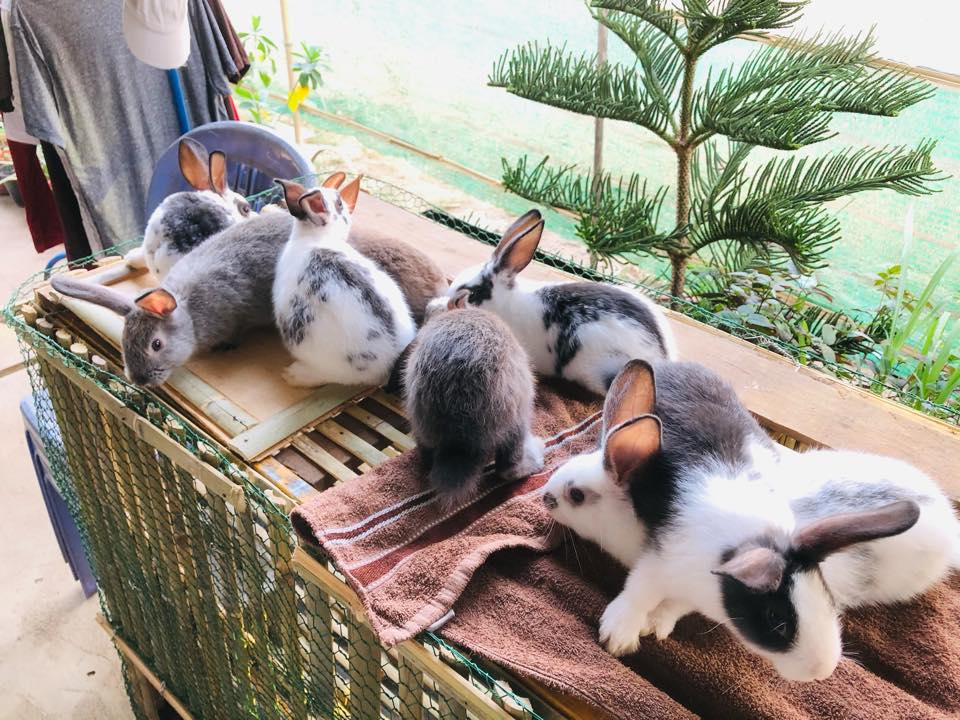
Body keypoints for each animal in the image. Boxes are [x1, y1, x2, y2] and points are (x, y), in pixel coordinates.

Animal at [405, 290, 543, 508]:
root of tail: (459, 442)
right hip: (518, 419)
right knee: (507, 468)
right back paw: (536, 456)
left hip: (419, 424)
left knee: (426, 459)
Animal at [567, 360, 958, 682]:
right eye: (777, 621)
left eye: (828, 598)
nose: (823, 671)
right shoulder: (662, 559)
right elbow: (641, 590)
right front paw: (621, 634)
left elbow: (672, 603)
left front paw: (656, 625)